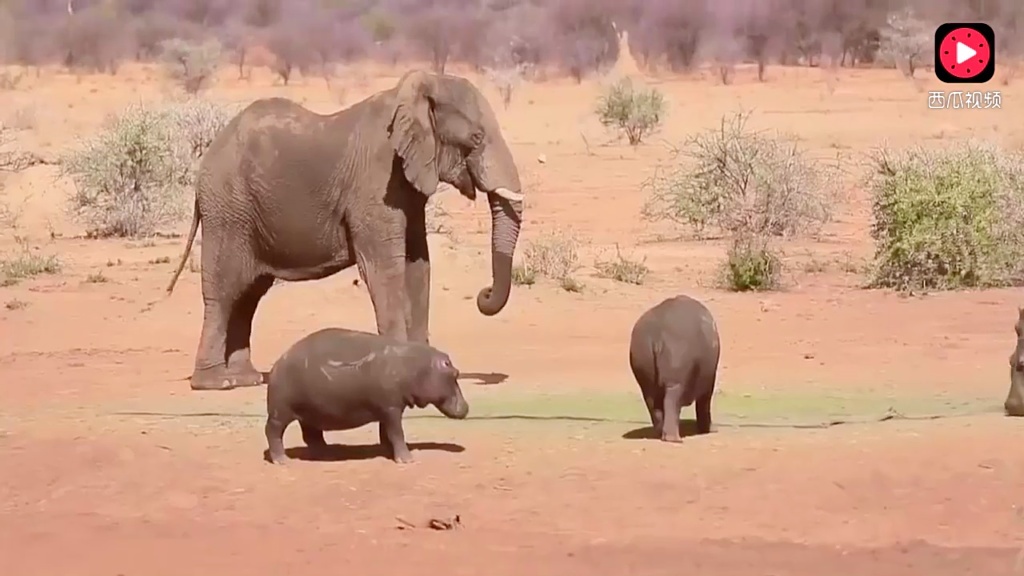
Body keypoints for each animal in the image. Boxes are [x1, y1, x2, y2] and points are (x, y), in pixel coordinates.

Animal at [165, 68, 528, 389]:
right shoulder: (376, 182)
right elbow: (384, 270)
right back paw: (217, 382)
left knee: (249, 294)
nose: (484, 294)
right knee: (225, 290)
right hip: (228, 210)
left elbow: (418, 265)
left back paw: (246, 379)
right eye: (476, 138)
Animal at [264, 327, 471, 461]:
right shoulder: (391, 408)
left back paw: (327, 453)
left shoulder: (387, 409)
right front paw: (408, 459)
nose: (467, 407)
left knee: (311, 435)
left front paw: (388, 452)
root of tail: (277, 363)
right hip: (280, 412)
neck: (417, 367)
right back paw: (282, 460)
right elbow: (397, 432)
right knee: (273, 432)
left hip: (310, 413)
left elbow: (387, 432)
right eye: (455, 373)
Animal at [626, 293, 724, 440]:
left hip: (644, 372)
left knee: (654, 405)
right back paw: (674, 439)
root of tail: (657, 332)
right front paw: (710, 430)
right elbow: (704, 404)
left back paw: (660, 434)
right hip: (676, 378)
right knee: (671, 401)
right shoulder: (708, 381)